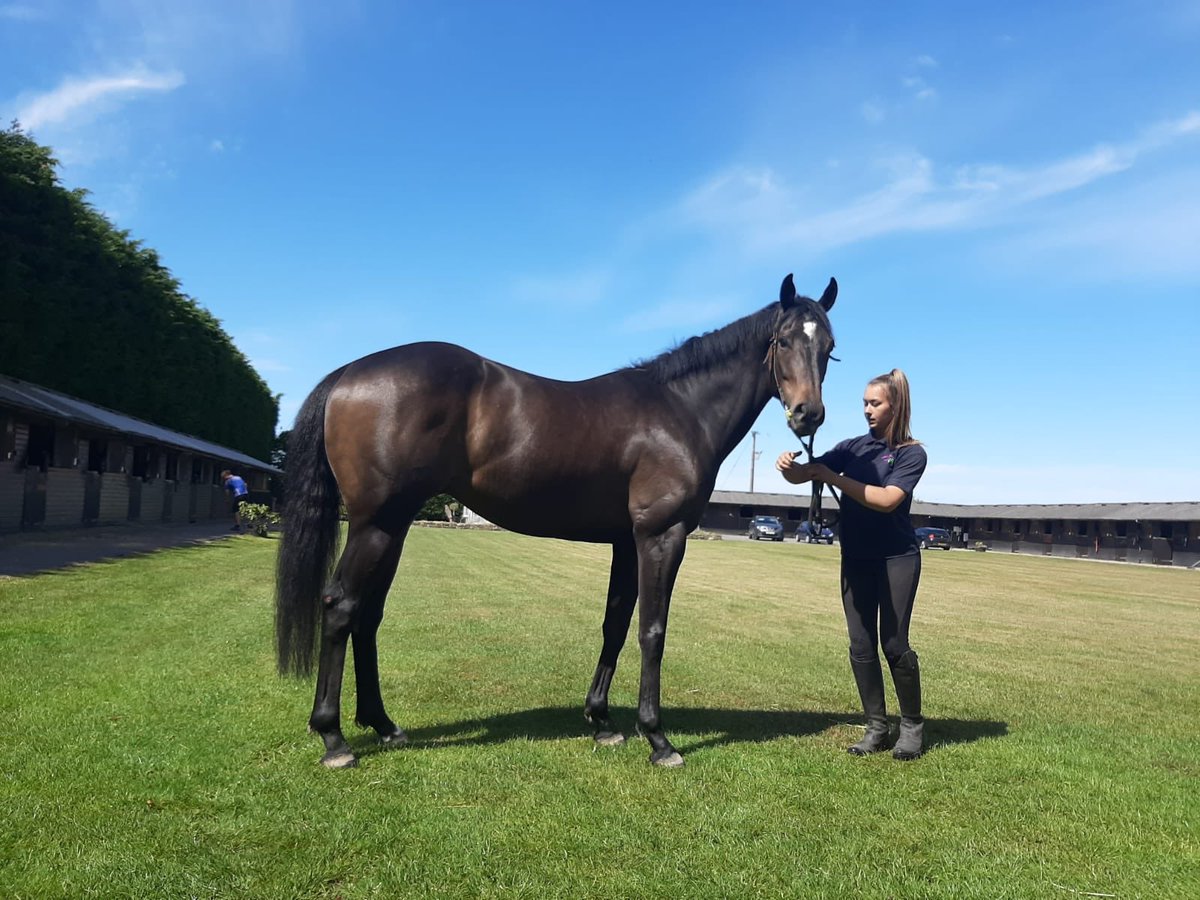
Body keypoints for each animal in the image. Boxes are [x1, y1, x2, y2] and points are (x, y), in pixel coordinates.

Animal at [276, 273, 840, 768]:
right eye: (783, 340)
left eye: (829, 346)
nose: (808, 414)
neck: (680, 409)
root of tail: (349, 372)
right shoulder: (661, 536)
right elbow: (652, 630)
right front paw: (658, 739)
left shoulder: (625, 541)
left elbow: (615, 623)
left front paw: (602, 722)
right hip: (375, 524)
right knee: (341, 607)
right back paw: (333, 738)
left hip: (392, 527)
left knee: (368, 616)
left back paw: (384, 725)